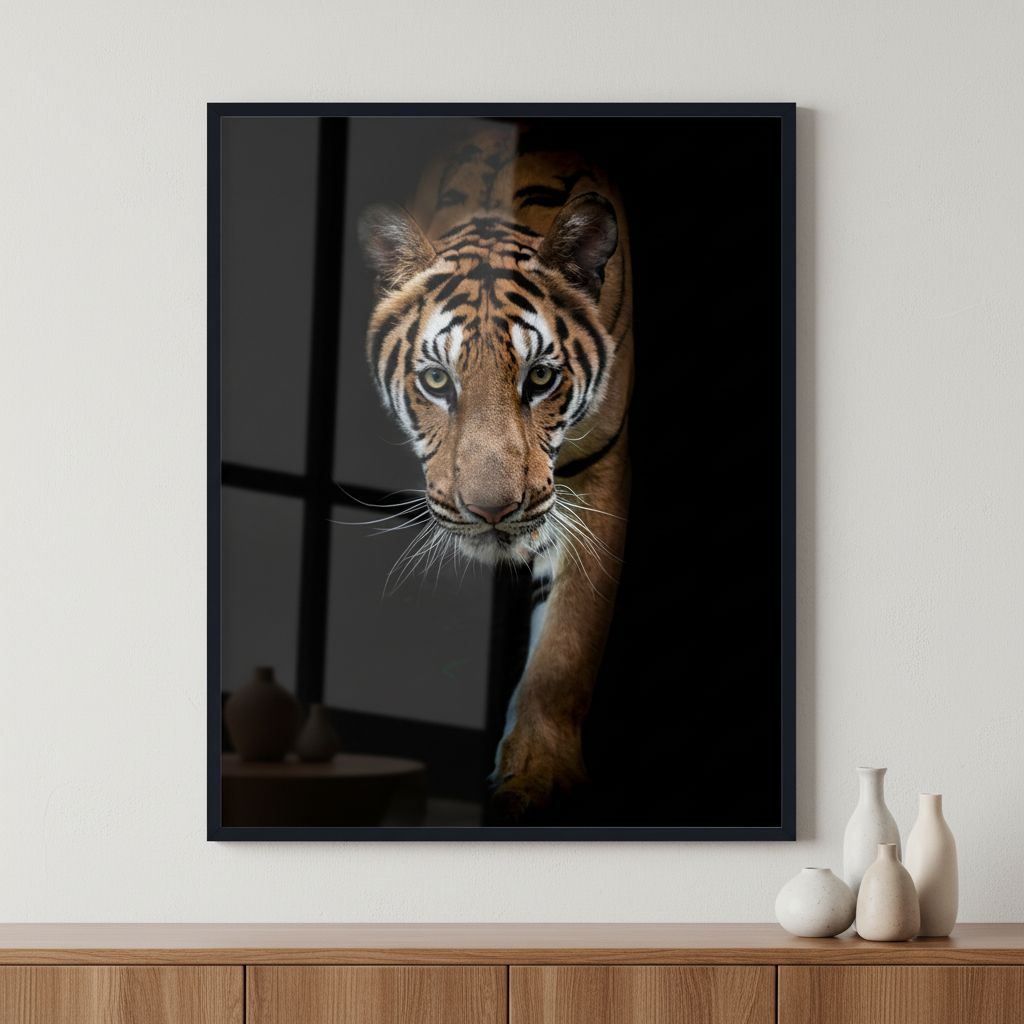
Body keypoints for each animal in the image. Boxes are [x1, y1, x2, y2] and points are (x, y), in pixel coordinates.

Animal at [358, 123, 633, 823]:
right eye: (436, 380)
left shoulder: (598, 483)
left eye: (540, 377)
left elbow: (565, 645)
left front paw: (538, 779)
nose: (491, 512)